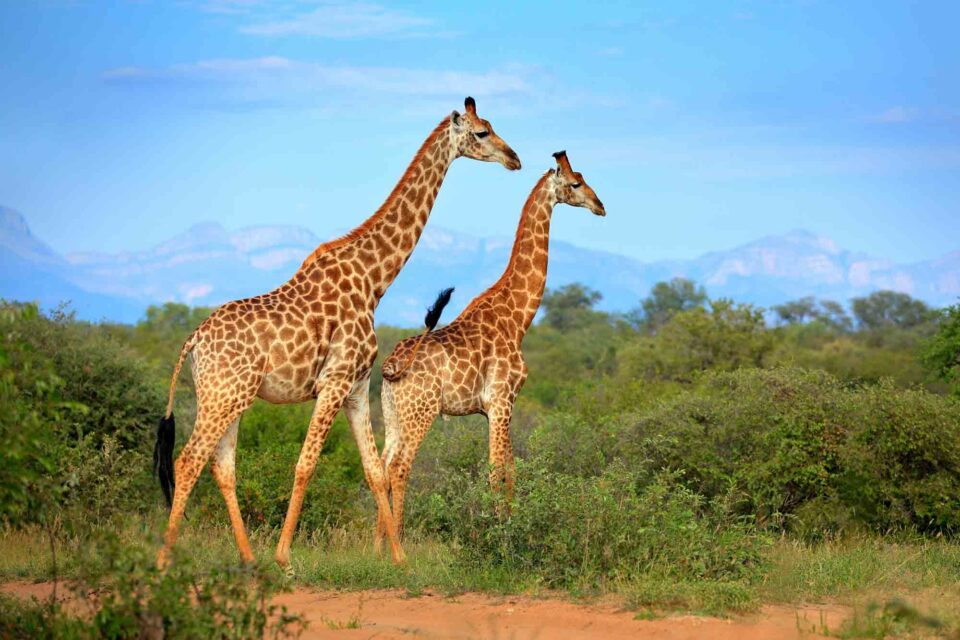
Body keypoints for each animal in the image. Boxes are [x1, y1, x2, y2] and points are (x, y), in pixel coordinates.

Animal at [153, 97, 521, 572]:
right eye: (481, 133)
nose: (514, 158)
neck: (373, 280)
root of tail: (193, 342)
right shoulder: (333, 381)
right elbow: (306, 464)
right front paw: (284, 556)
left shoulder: (357, 387)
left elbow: (375, 470)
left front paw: (399, 558)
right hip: (224, 395)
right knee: (188, 460)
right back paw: (166, 560)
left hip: (227, 396)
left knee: (221, 465)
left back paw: (247, 557)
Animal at [376, 151, 605, 540]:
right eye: (576, 183)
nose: (600, 206)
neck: (519, 317)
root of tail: (391, 366)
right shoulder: (501, 399)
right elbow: (497, 470)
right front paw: (502, 534)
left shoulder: (494, 407)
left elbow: (510, 469)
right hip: (421, 411)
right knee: (400, 468)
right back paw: (400, 540)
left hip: (393, 412)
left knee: (382, 465)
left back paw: (376, 545)